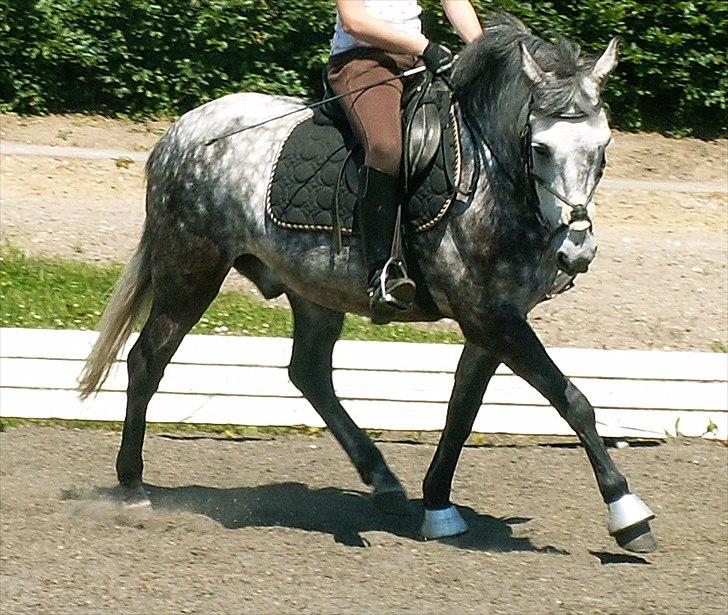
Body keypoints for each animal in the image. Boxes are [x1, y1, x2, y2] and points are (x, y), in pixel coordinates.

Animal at [79, 13, 657, 553]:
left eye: (604, 146)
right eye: (539, 148)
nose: (576, 251)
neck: (493, 179)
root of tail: (179, 135)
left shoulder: (493, 320)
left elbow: (462, 410)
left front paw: (438, 506)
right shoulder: (490, 317)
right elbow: (571, 399)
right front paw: (627, 513)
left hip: (312, 287)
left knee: (309, 373)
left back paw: (383, 480)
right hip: (192, 270)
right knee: (147, 359)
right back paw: (133, 488)